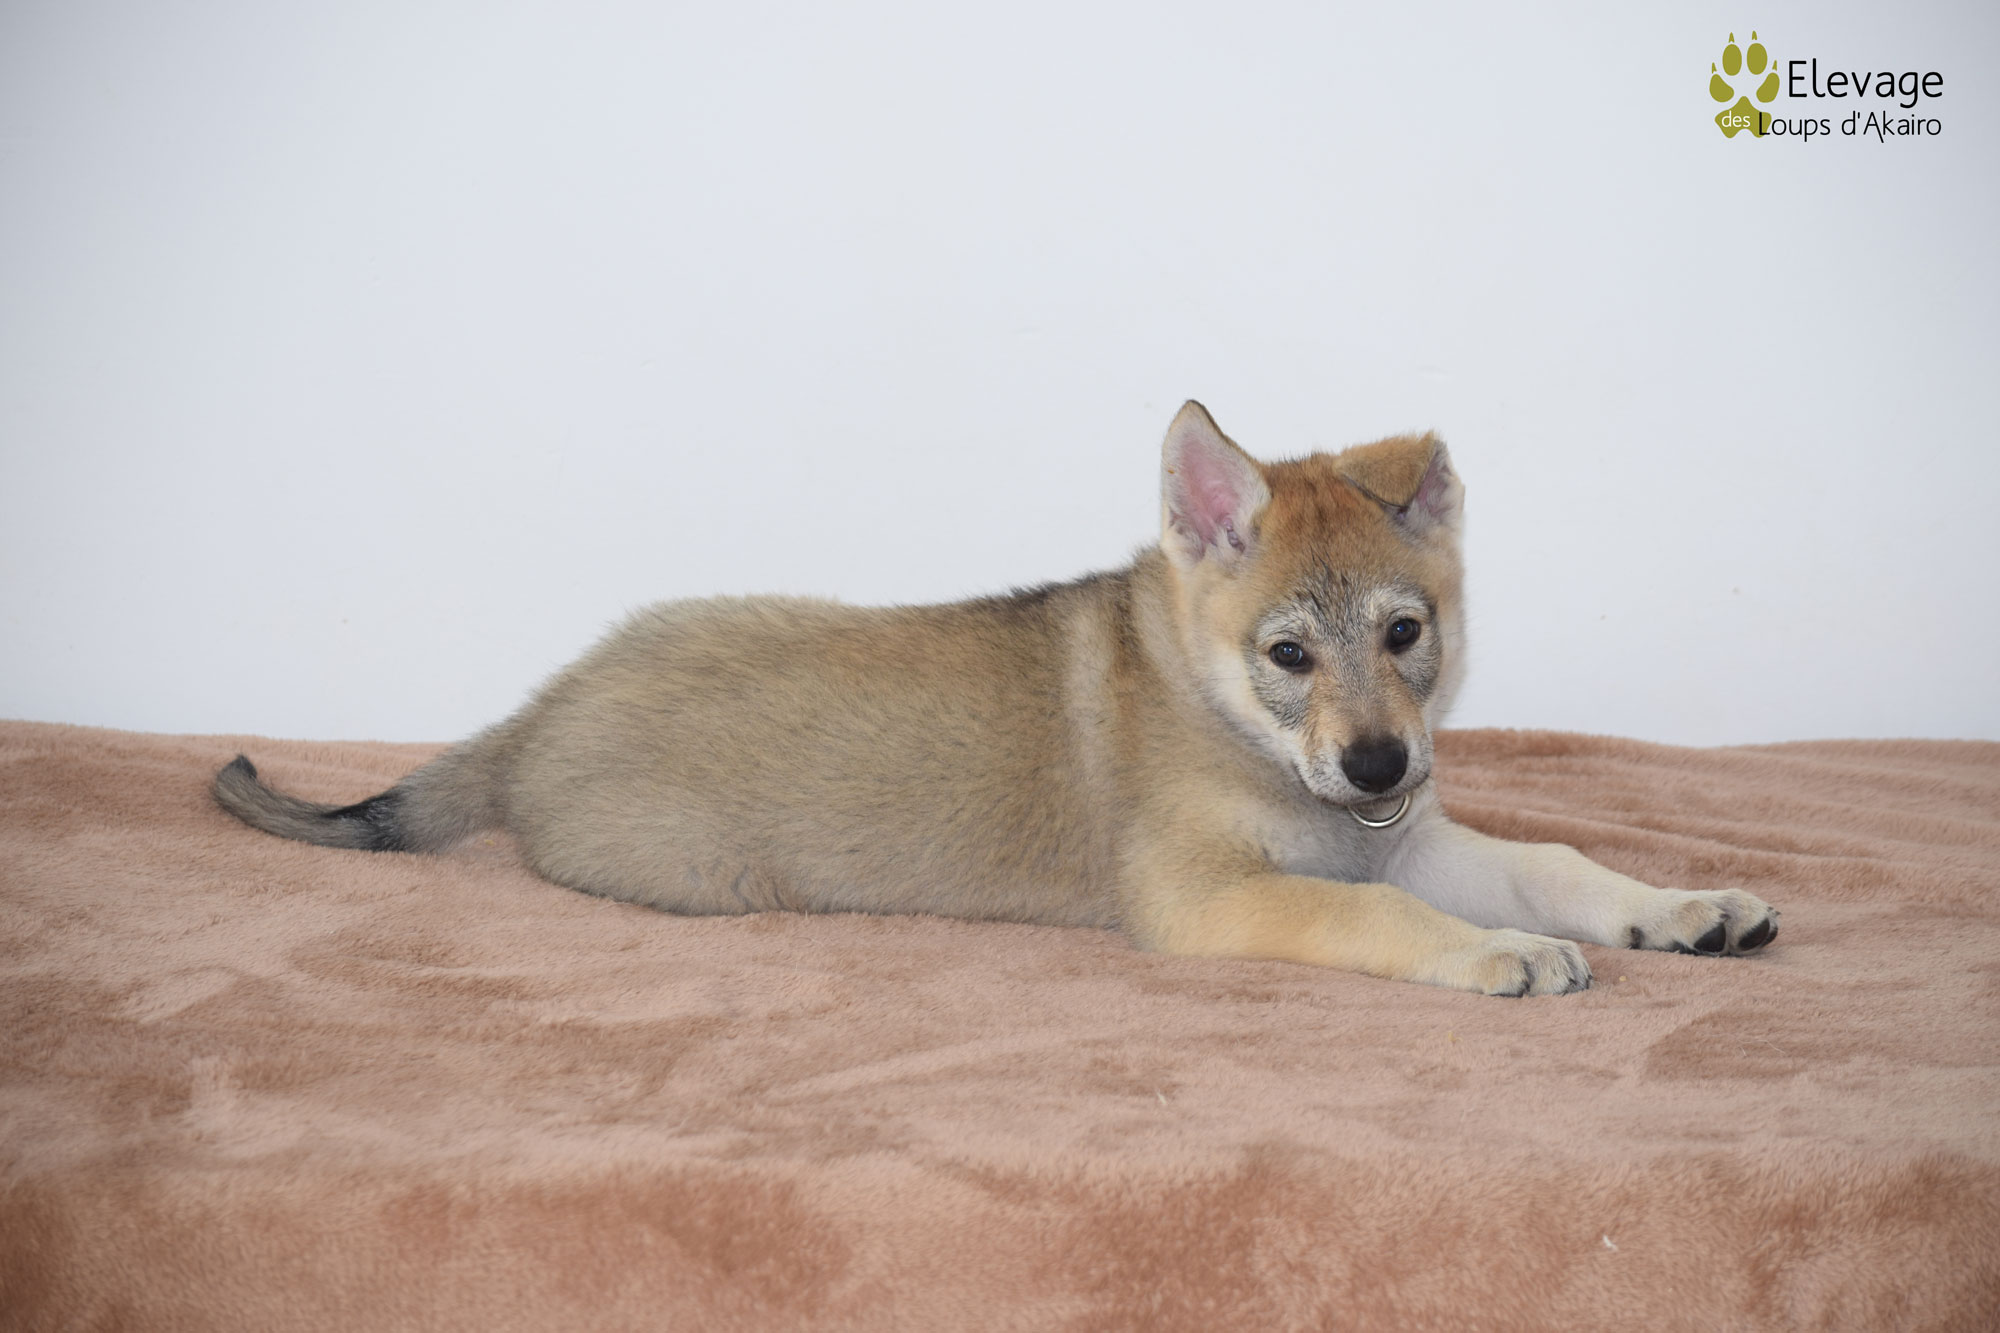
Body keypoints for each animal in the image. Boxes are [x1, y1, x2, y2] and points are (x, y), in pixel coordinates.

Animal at [215, 402, 1778, 995]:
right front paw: (1492, 954)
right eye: (1288, 655)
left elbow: (1555, 859)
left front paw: (1680, 906)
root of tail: (541, 711)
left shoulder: (1408, 842)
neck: (1216, 710)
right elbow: (1377, 918)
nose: (1385, 770)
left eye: (1408, 632)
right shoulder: (1223, 897)